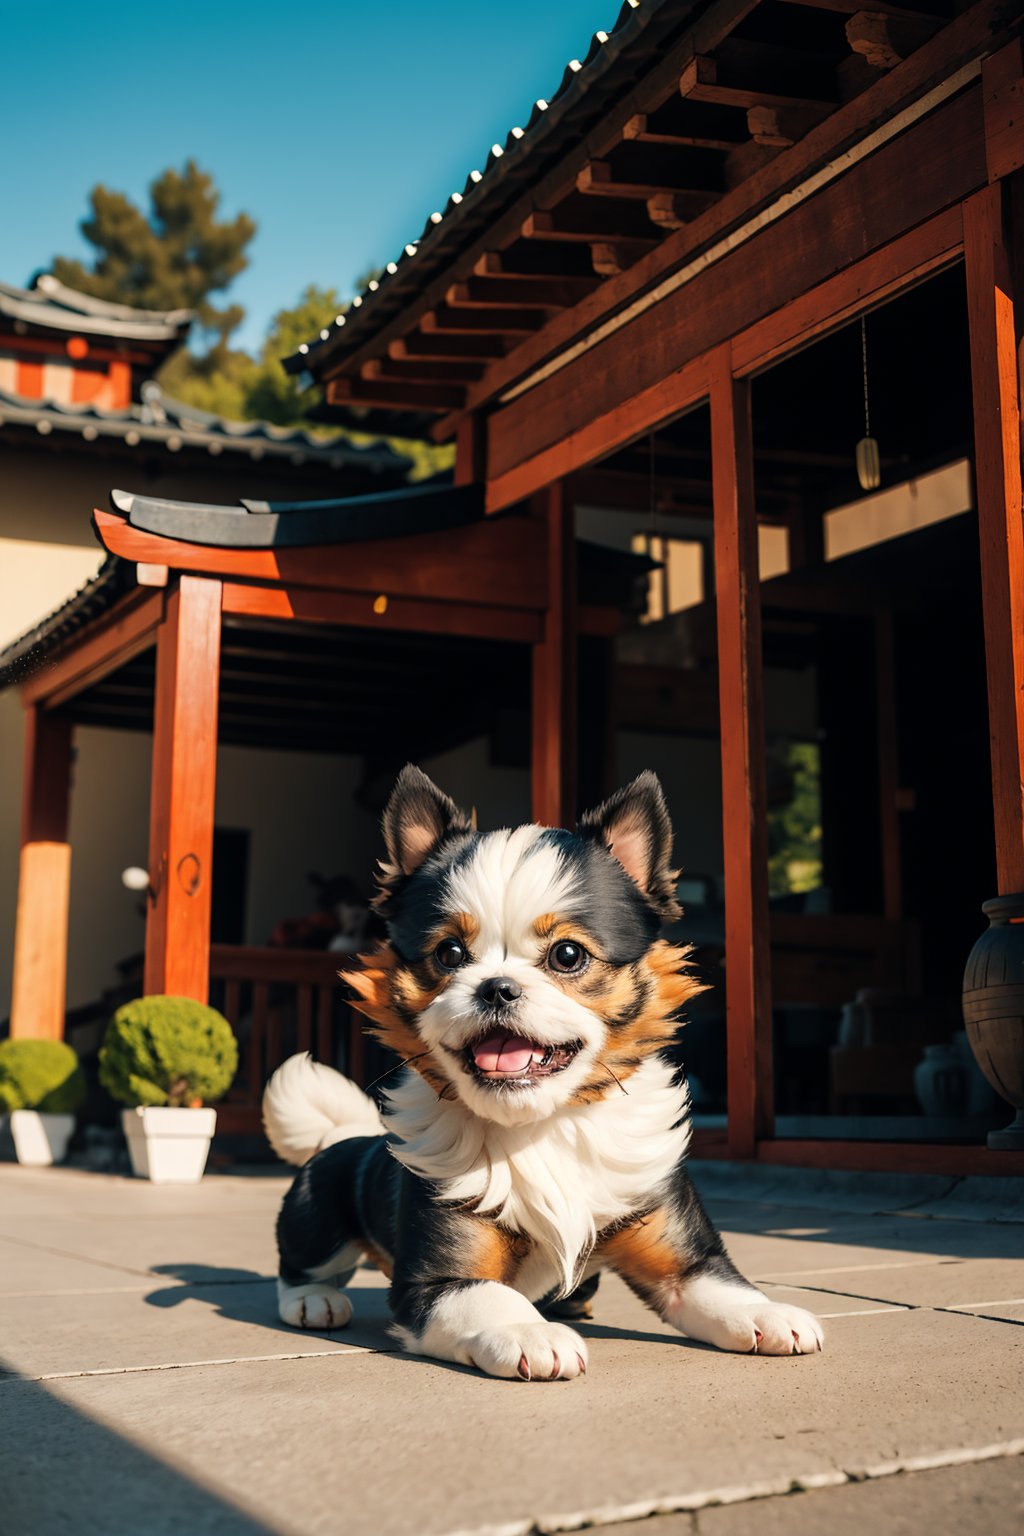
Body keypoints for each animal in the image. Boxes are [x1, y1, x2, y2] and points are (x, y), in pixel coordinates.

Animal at [267, 768, 822, 1382]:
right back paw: (314, 1301)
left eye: (567, 955)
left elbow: (722, 1286)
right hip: (316, 1217)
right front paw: (529, 1331)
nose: (497, 987)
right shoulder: (436, 1280)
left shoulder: (682, 1258)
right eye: (449, 953)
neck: (543, 1123)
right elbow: (490, 1295)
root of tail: (341, 1138)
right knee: (301, 1265)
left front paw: (768, 1313)